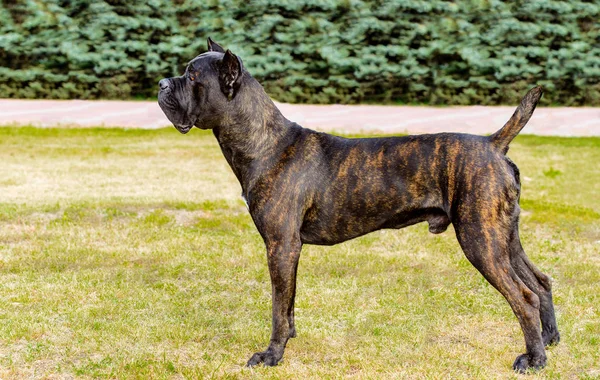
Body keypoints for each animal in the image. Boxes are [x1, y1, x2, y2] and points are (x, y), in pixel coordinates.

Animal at [157, 39, 560, 374]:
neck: (265, 143)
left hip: (480, 239)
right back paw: (549, 341)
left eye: (192, 76)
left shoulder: (280, 246)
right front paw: (288, 340)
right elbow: (288, 303)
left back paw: (534, 360)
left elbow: (276, 307)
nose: (162, 84)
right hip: (503, 237)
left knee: (523, 296)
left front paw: (271, 355)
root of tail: (494, 144)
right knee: (539, 282)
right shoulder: (288, 250)